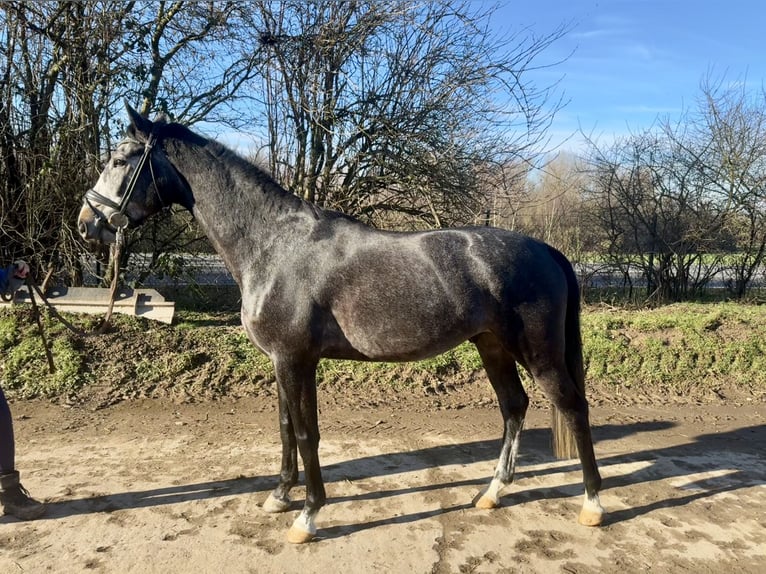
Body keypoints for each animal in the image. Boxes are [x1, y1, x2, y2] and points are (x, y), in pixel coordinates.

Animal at [79, 104, 608, 544]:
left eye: (121, 159)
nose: (87, 223)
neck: (272, 245)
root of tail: (547, 250)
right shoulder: (281, 362)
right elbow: (285, 428)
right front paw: (279, 496)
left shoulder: (296, 360)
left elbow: (307, 433)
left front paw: (307, 516)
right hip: (491, 345)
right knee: (513, 407)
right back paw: (493, 493)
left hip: (538, 353)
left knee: (573, 408)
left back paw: (592, 504)